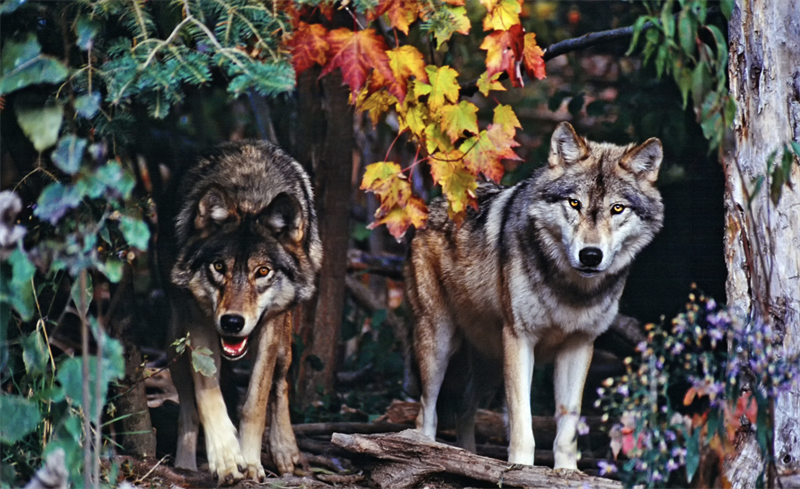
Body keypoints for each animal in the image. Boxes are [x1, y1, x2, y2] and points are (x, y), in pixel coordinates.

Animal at [159, 139, 322, 482]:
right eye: (219, 267)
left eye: (263, 272)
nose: (232, 322)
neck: (249, 196)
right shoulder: (199, 323)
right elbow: (207, 396)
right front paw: (225, 458)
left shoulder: (270, 331)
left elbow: (255, 403)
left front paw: (250, 462)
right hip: (174, 340)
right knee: (187, 407)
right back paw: (185, 464)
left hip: (284, 341)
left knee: (280, 383)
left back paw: (284, 450)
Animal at [406, 122, 664, 472]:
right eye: (574, 203)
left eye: (617, 208)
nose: (590, 255)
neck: (570, 290)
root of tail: (434, 205)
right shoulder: (520, 340)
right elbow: (521, 423)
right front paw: (522, 470)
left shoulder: (578, 346)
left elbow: (568, 428)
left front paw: (566, 473)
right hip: (439, 344)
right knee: (427, 412)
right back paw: (426, 452)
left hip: (489, 363)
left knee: (463, 407)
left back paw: (468, 460)